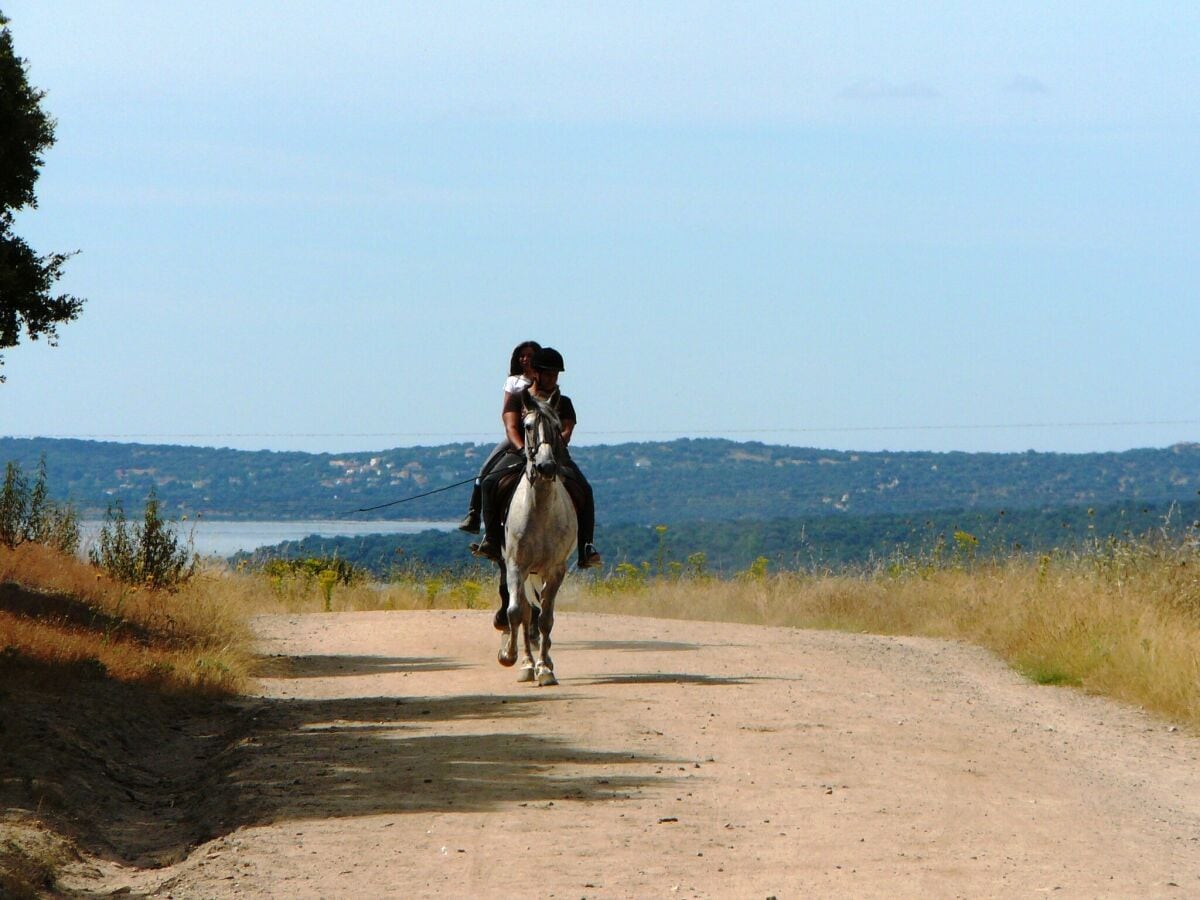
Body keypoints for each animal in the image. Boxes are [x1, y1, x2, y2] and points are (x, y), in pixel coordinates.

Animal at [499, 391, 578, 686]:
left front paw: (544, 669)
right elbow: (516, 613)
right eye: (528, 426)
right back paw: (525, 663)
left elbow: (545, 619)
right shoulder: (515, 566)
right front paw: (512, 658)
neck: (540, 508)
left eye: (557, 426)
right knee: (523, 612)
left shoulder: (555, 570)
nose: (545, 467)